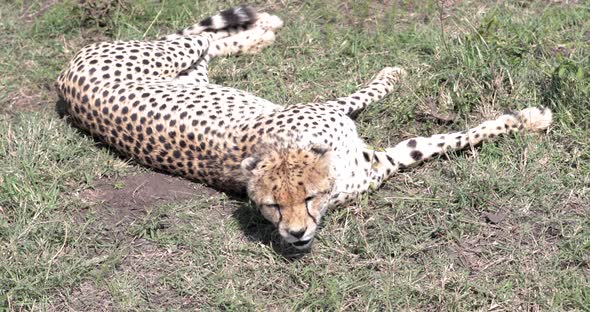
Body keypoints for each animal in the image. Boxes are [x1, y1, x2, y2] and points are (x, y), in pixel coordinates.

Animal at [56, 4, 556, 250]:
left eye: (309, 198)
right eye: (272, 208)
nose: (295, 236)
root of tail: (64, 78)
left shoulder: (371, 147)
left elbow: (443, 133)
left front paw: (524, 119)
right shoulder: (379, 155)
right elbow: (441, 137)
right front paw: (525, 119)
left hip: (182, 66)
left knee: (204, 40)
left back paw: (261, 28)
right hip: (176, 64)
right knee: (202, 39)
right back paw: (260, 29)